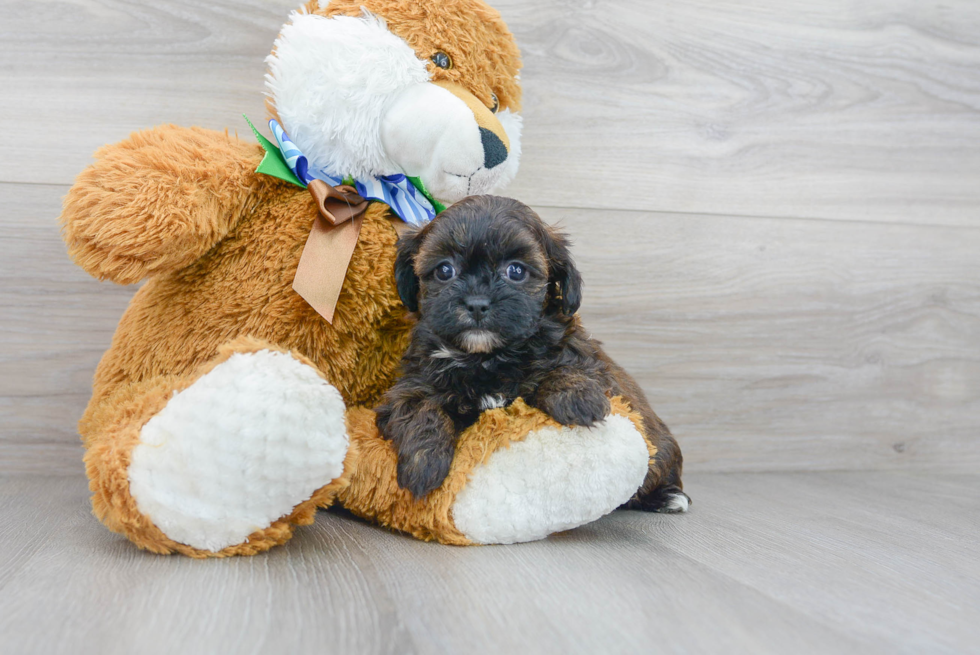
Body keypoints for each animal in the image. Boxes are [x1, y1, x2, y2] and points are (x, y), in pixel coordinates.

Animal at [376, 192, 688, 510]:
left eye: (516, 271)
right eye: (444, 270)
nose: (477, 303)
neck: (487, 359)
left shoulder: (591, 363)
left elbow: (566, 368)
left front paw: (577, 398)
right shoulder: (410, 385)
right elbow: (418, 408)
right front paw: (423, 463)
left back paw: (668, 497)